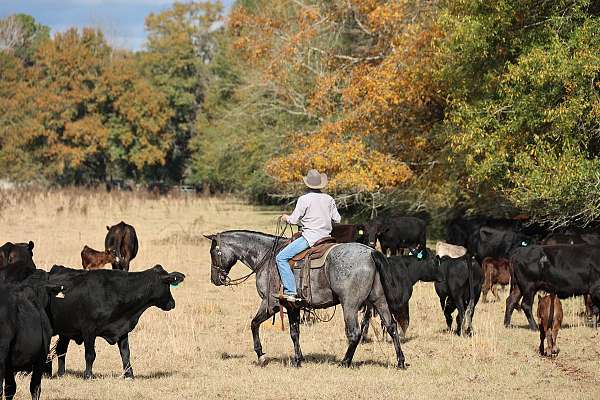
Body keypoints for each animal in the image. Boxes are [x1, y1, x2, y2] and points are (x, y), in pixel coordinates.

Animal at [48, 266, 184, 378]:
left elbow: (125, 353)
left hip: (65, 331)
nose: (172, 303)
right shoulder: (88, 330)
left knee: (61, 350)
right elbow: (90, 354)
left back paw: (61, 374)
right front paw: (88, 375)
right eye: (168, 285)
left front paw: (129, 375)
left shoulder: (122, 328)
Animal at [204, 230, 406, 368]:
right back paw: (400, 361)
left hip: (350, 305)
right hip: (379, 301)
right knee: (391, 327)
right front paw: (297, 360)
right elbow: (295, 333)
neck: (266, 255)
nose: (215, 279)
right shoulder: (292, 306)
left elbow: (254, 324)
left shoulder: (271, 303)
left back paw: (345, 362)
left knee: (355, 332)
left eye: (213, 252)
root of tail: (371, 253)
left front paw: (261, 355)